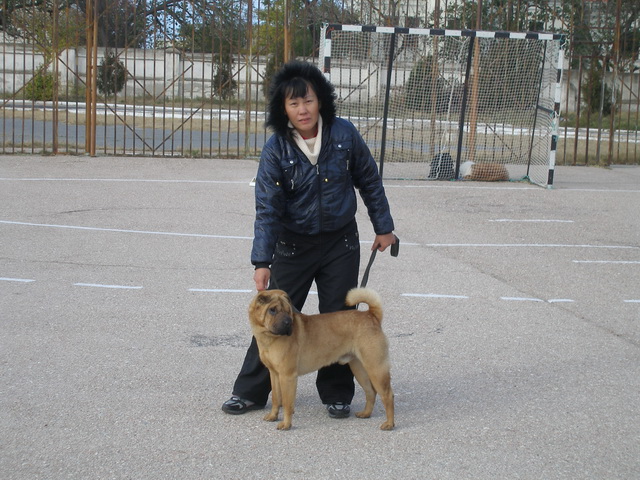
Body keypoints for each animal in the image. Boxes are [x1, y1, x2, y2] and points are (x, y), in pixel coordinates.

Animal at [248, 288, 395, 431]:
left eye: (288, 311)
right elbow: (275, 398)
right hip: (360, 369)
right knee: (371, 392)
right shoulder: (274, 374)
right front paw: (273, 416)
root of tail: (371, 315)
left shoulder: (287, 376)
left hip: (376, 368)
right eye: (272, 310)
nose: (288, 322)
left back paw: (389, 424)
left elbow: (287, 403)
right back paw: (366, 413)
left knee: (387, 395)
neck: (269, 338)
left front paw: (286, 424)